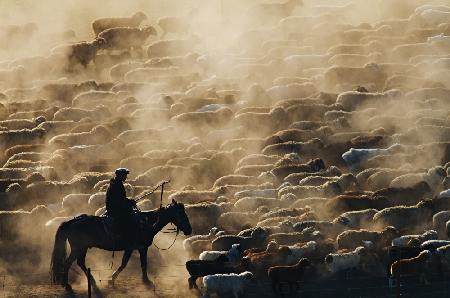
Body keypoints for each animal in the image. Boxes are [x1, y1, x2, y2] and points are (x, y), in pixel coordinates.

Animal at [51, 199, 192, 290]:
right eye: (180, 213)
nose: (189, 230)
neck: (145, 223)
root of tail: (71, 221)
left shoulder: (132, 248)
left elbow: (125, 263)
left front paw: (112, 280)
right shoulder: (140, 248)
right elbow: (140, 264)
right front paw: (147, 282)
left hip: (83, 248)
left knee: (80, 263)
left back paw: (92, 282)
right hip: (78, 248)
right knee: (68, 263)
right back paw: (67, 284)